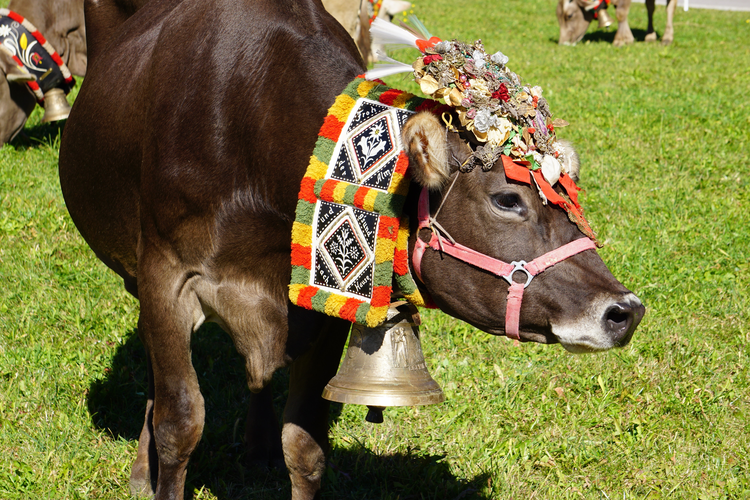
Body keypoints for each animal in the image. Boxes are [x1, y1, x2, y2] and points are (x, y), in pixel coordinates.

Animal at [58, 0, 648, 500]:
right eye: (508, 199)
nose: (624, 311)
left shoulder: (322, 301)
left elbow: (305, 445)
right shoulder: (165, 273)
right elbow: (180, 421)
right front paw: (157, 466)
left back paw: (256, 446)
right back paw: (144, 468)